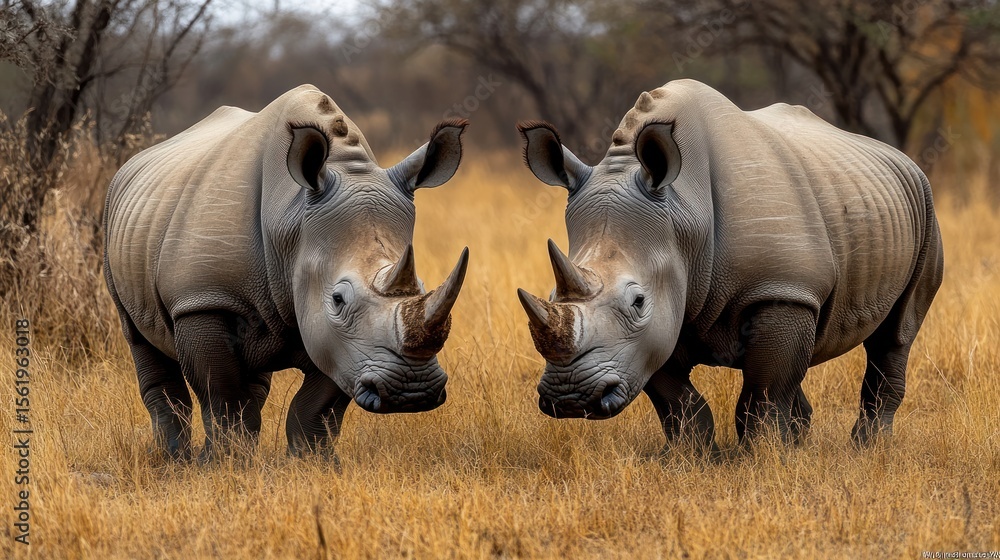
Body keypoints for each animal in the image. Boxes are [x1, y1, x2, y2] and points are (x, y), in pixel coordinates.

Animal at [104, 85, 469, 460]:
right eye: (338, 299)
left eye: (422, 286)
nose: (412, 391)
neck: (291, 225)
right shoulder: (202, 300)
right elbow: (222, 396)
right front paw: (224, 464)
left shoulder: (342, 342)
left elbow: (317, 407)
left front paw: (313, 463)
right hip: (114, 221)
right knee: (139, 339)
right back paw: (172, 460)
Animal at [516, 79, 944, 449]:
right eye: (550, 294)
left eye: (637, 302)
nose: (570, 398)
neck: (684, 216)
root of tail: (898, 156)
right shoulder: (657, 322)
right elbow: (675, 398)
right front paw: (691, 457)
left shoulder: (781, 289)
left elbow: (765, 392)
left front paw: (765, 457)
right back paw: (802, 441)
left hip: (924, 204)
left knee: (895, 334)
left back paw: (868, 448)